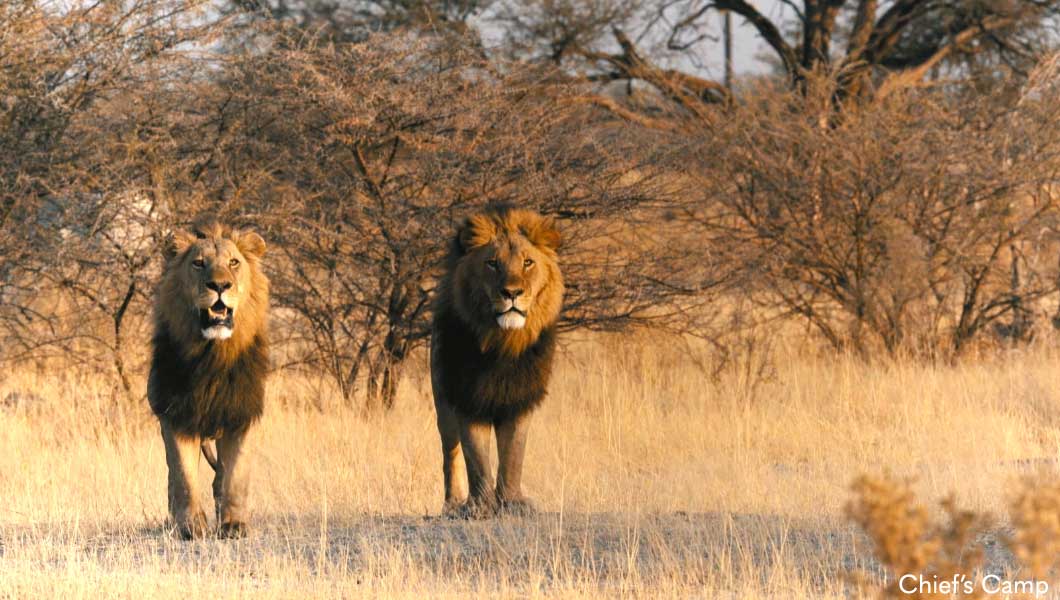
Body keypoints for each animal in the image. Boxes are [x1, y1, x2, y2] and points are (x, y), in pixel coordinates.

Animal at [146, 218, 269, 542]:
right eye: (198, 263)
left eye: (234, 263)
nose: (220, 285)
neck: (212, 356)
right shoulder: (175, 416)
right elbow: (184, 477)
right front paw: (191, 527)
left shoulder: (242, 415)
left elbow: (235, 477)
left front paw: (234, 525)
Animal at [428, 205, 563, 517]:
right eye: (492, 263)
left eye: (528, 262)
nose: (511, 293)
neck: (502, 343)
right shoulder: (467, 397)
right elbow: (475, 458)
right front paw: (479, 506)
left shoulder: (519, 399)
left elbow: (513, 454)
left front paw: (512, 502)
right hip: (442, 402)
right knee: (449, 454)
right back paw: (453, 503)